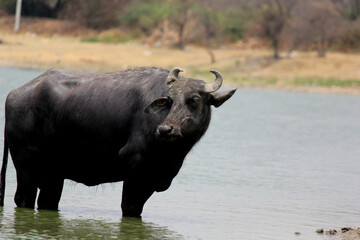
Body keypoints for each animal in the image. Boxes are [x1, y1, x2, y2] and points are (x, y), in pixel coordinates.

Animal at [0, 66, 236, 217]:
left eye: (194, 100)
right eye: (169, 101)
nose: (165, 129)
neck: (171, 154)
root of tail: (13, 95)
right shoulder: (135, 175)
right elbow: (130, 209)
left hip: (53, 174)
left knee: (47, 201)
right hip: (26, 168)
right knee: (23, 198)